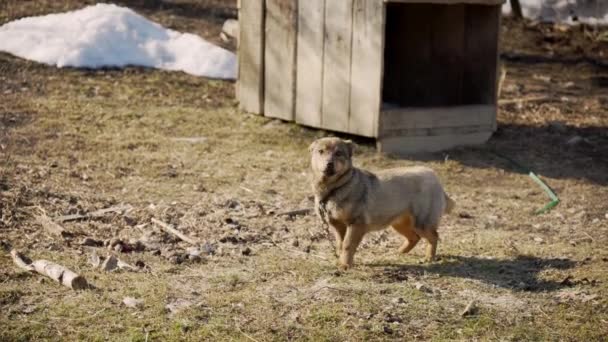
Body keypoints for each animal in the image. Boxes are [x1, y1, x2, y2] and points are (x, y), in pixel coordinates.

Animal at [312, 137, 454, 270]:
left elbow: (347, 245)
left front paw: (345, 265)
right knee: (414, 237)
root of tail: (434, 177)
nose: (329, 164)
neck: (334, 189)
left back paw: (429, 258)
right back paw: (401, 251)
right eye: (321, 151)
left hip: (422, 222)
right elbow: (340, 244)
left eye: (339, 153)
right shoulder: (338, 225)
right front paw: (342, 261)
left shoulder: (356, 224)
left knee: (434, 237)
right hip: (399, 223)